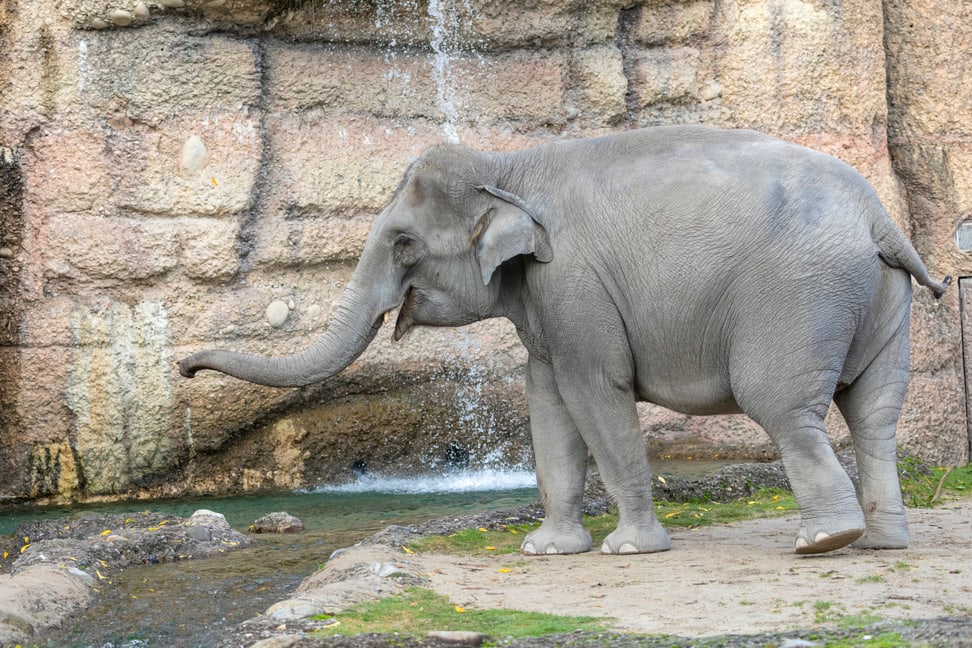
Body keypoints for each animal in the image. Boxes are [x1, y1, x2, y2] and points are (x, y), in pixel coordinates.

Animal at [179, 125, 951, 556]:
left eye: (402, 243)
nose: (183, 367)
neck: (509, 164)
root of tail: (881, 219)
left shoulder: (573, 282)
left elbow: (593, 393)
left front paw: (627, 552)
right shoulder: (547, 301)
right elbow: (547, 402)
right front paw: (546, 550)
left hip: (798, 297)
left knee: (785, 409)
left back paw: (825, 543)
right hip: (882, 303)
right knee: (875, 414)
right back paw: (882, 541)